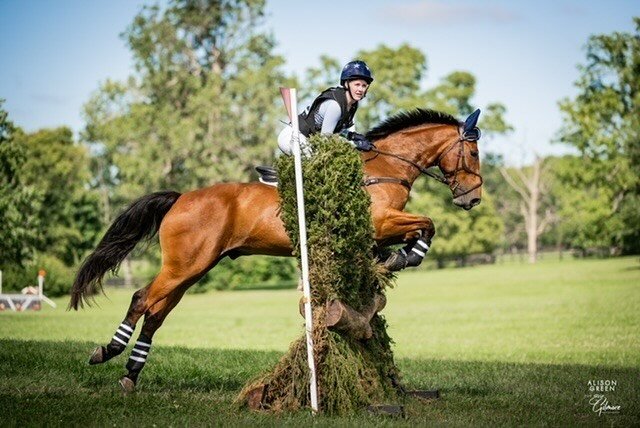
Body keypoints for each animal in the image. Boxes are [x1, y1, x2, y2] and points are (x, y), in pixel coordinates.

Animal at [69, 107, 480, 392]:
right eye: (474, 154)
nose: (472, 198)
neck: (383, 169)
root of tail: (181, 197)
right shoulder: (382, 222)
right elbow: (428, 222)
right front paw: (407, 255)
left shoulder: (379, 232)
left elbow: (418, 230)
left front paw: (400, 256)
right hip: (184, 266)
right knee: (142, 299)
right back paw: (107, 351)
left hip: (192, 269)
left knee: (156, 313)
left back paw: (131, 375)